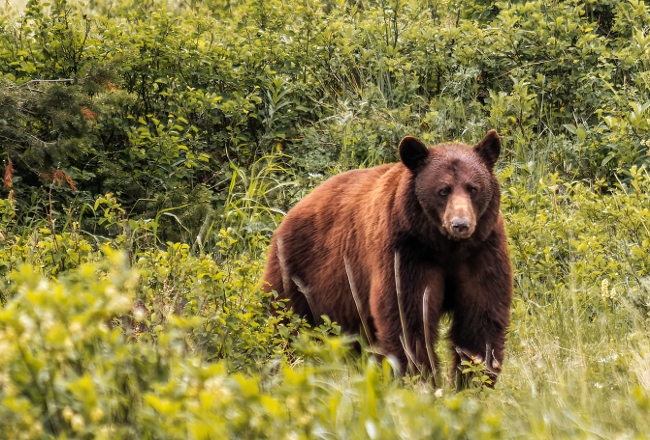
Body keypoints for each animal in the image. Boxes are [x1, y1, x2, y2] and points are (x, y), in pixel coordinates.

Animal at [262, 130, 512, 384]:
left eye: (473, 188)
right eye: (443, 190)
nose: (460, 224)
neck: (445, 247)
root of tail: (292, 212)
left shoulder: (482, 251)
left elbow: (481, 316)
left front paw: (473, 379)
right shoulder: (405, 253)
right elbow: (407, 316)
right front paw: (419, 377)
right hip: (298, 274)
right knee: (285, 323)